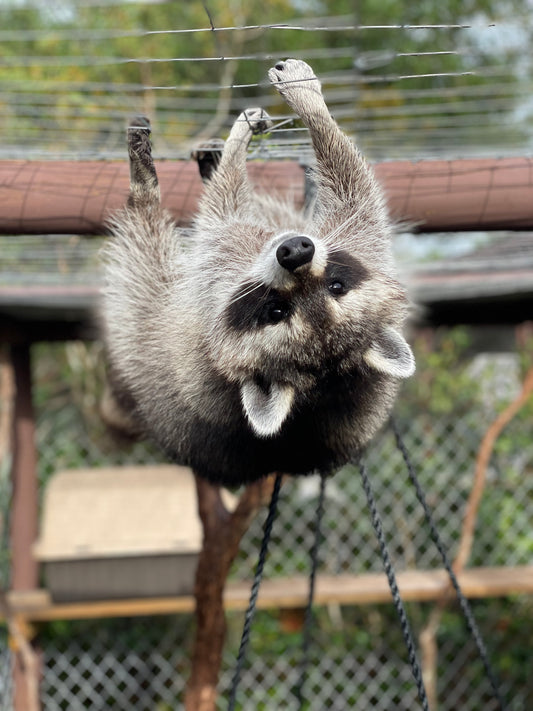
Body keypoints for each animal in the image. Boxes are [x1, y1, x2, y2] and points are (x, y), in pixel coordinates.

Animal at [102, 59, 414, 490]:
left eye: (334, 287)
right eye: (278, 311)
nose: (296, 251)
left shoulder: (221, 271)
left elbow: (344, 186)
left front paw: (303, 106)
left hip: (140, 314)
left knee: (145, 238)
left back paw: (144, 182)